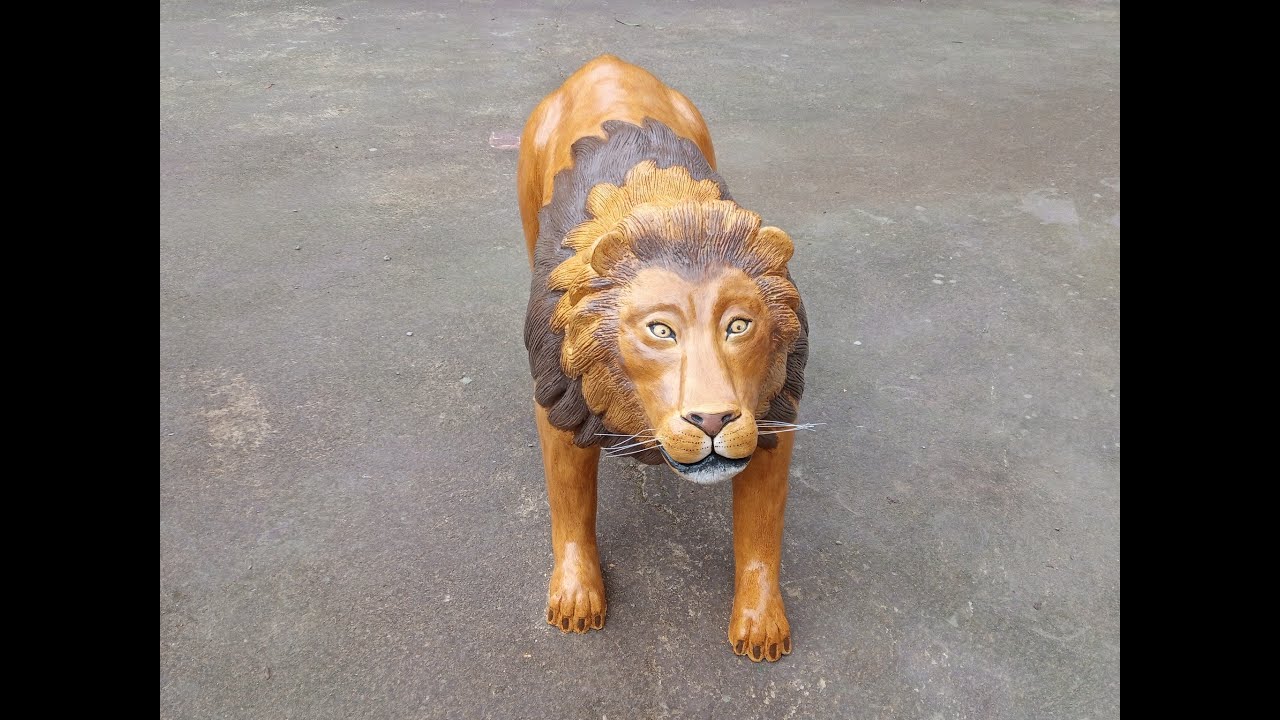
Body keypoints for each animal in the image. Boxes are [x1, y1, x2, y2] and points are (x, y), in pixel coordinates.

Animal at [519, 55, 809, 662]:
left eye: (739, 325)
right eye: (660, 330)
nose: (713, 419)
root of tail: (603, 61)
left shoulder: (773, 412)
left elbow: (761, 530)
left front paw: (761, 625)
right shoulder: (560, 399)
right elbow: (571, 507)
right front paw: (576, 600)